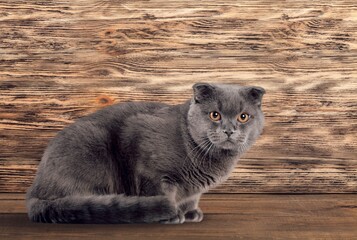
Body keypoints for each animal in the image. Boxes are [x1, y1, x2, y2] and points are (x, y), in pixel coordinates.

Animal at [25, 82, 264, 223]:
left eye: (243, 117)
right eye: (215, 115)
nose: (229, 130)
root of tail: (35, 190)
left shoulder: (193, 190)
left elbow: (192, 197)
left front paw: (190, 212)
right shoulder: (148, 164)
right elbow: (158, 189)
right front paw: (172, 214)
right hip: (93, 148)